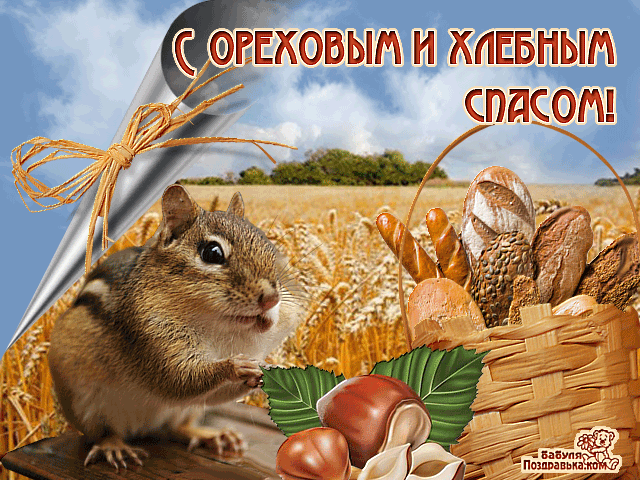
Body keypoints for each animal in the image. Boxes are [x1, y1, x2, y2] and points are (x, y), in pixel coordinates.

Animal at [48, 184, 305, 470]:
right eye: (212, 253)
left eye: (268, 244)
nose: (272, 299)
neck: (218, 327)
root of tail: (143, 427)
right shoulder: (148, 337)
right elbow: (177, 378)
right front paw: (236, 366)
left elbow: (207, 393)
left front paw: (265, 370)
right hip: (85, 406)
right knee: (104, 432)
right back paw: (114, 447)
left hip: (187, 411)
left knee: (176, 427)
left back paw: (212, 435)